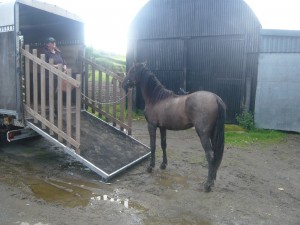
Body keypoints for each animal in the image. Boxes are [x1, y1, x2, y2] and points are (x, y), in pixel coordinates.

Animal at [122, 61, 225, 192]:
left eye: (131, 71)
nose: (123, 84)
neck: (156, 98)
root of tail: (216, 98)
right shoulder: (162, 127)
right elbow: (163, 145)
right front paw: (163, 165)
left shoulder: (151, 126)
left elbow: (153, 146)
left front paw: (150, 167)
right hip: (212, 134)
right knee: (216, 154)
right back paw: (212, 179)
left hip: (203, 134)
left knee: (210, 155)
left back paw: (208, 185)